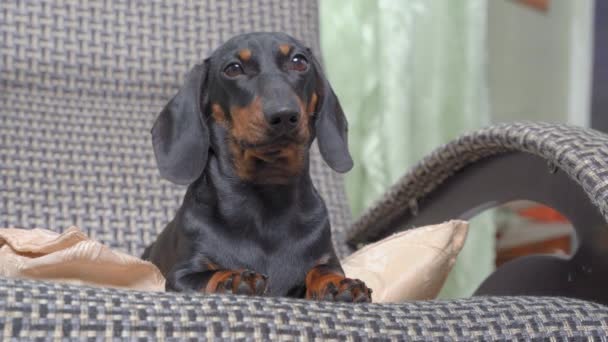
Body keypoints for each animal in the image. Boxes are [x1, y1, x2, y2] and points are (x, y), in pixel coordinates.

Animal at [143, 30, 370, 300]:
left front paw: (340, 284)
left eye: (299, 62)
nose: (284, 115)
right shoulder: (181, 275)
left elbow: (322, 270)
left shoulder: (325, 258)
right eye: (233, 68)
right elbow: (209, 274)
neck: (267, 192)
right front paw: (234, 277)